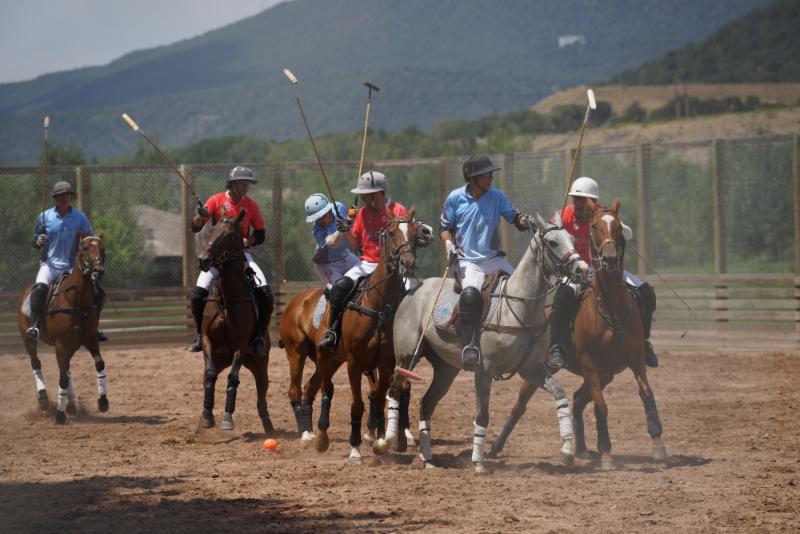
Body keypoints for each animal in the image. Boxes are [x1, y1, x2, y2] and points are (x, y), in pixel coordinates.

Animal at [16, 233, 108, 424]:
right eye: (84, 248)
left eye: (103, 248)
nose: (98, 270)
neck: (77, 301)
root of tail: (26, 291)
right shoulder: (61, 344)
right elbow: (63, 378)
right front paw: (59, 414)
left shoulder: (90, 340)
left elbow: (99, 364)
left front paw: (103, 401)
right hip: (29, 339)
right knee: (36, 362)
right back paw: (45, 400)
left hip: (71, 346)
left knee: (65, 368)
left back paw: (71, 404)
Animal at [197, 210, 274, 435]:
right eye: (211, 231)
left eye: (230, 236)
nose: (203, 260)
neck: (227, 296)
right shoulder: (207, 339)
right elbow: (210, 376)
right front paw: (207, 417)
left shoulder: (240, 344)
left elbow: (233, 378)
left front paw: (227, 419)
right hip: (221, 358)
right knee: (209, 376)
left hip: (260, 365)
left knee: (261, 399)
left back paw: (270, 428)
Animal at [384, 214, 590, 473]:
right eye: (553, 242)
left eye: (572, 239)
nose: (583, 269)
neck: (521, 308)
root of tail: (414, 287)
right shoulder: (484, 371)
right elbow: (482, 415)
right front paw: (478, 462)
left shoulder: (531, 367)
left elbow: (560, 394)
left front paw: (567, 449)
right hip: (406, 355)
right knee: (394, 389)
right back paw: (385, 442)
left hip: (446, 368)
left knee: (426, 403)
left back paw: (428, 458)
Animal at [492, 199, 667, 470]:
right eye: (594, 227)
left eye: (618, 226)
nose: (609, 258)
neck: (611, 308)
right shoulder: (589, 362)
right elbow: (601, 406)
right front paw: (606, 454)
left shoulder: (636, 358)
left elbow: (646, 393)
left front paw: (658, 445)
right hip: (543, 367)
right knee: (520, 405)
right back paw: (496, 446)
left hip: (607, 374)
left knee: (576, 399)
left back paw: (582, 449)